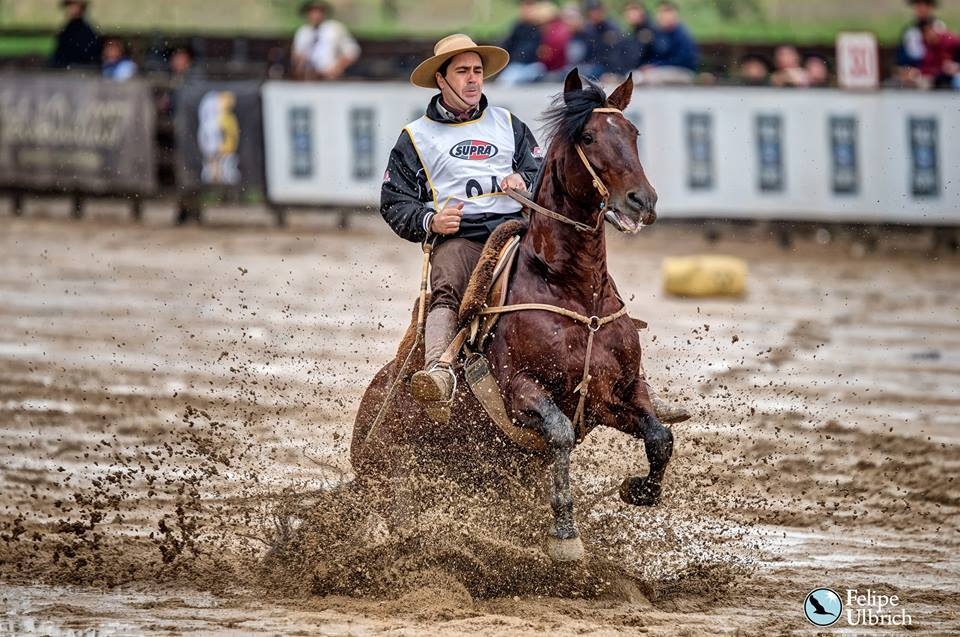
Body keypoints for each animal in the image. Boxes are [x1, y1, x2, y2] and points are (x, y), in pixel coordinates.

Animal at [352, 67, 676, 560]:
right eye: (588, 136)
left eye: (632, 132)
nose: (642, 201)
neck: (573, 291)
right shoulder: (521, 391)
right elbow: (560, 434)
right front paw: (565, 533)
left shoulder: (616, 394)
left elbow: (660, 438)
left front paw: (638, 489)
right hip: (395, 483)